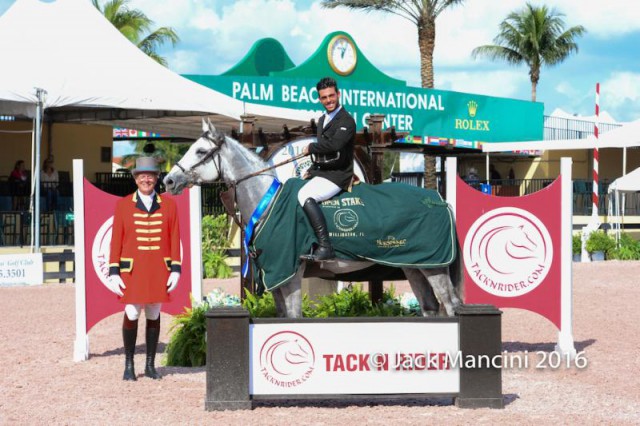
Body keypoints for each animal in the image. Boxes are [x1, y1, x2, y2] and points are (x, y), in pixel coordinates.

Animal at [165, 119, 462, 316]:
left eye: (200, 151)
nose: (168, 180)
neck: (266, 201)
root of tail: (438, 199)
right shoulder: (274, 277)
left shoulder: (289, 274)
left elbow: (293, 317)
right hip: (414, 265)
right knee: (430, 307)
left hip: (434, 266)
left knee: (450, 306)